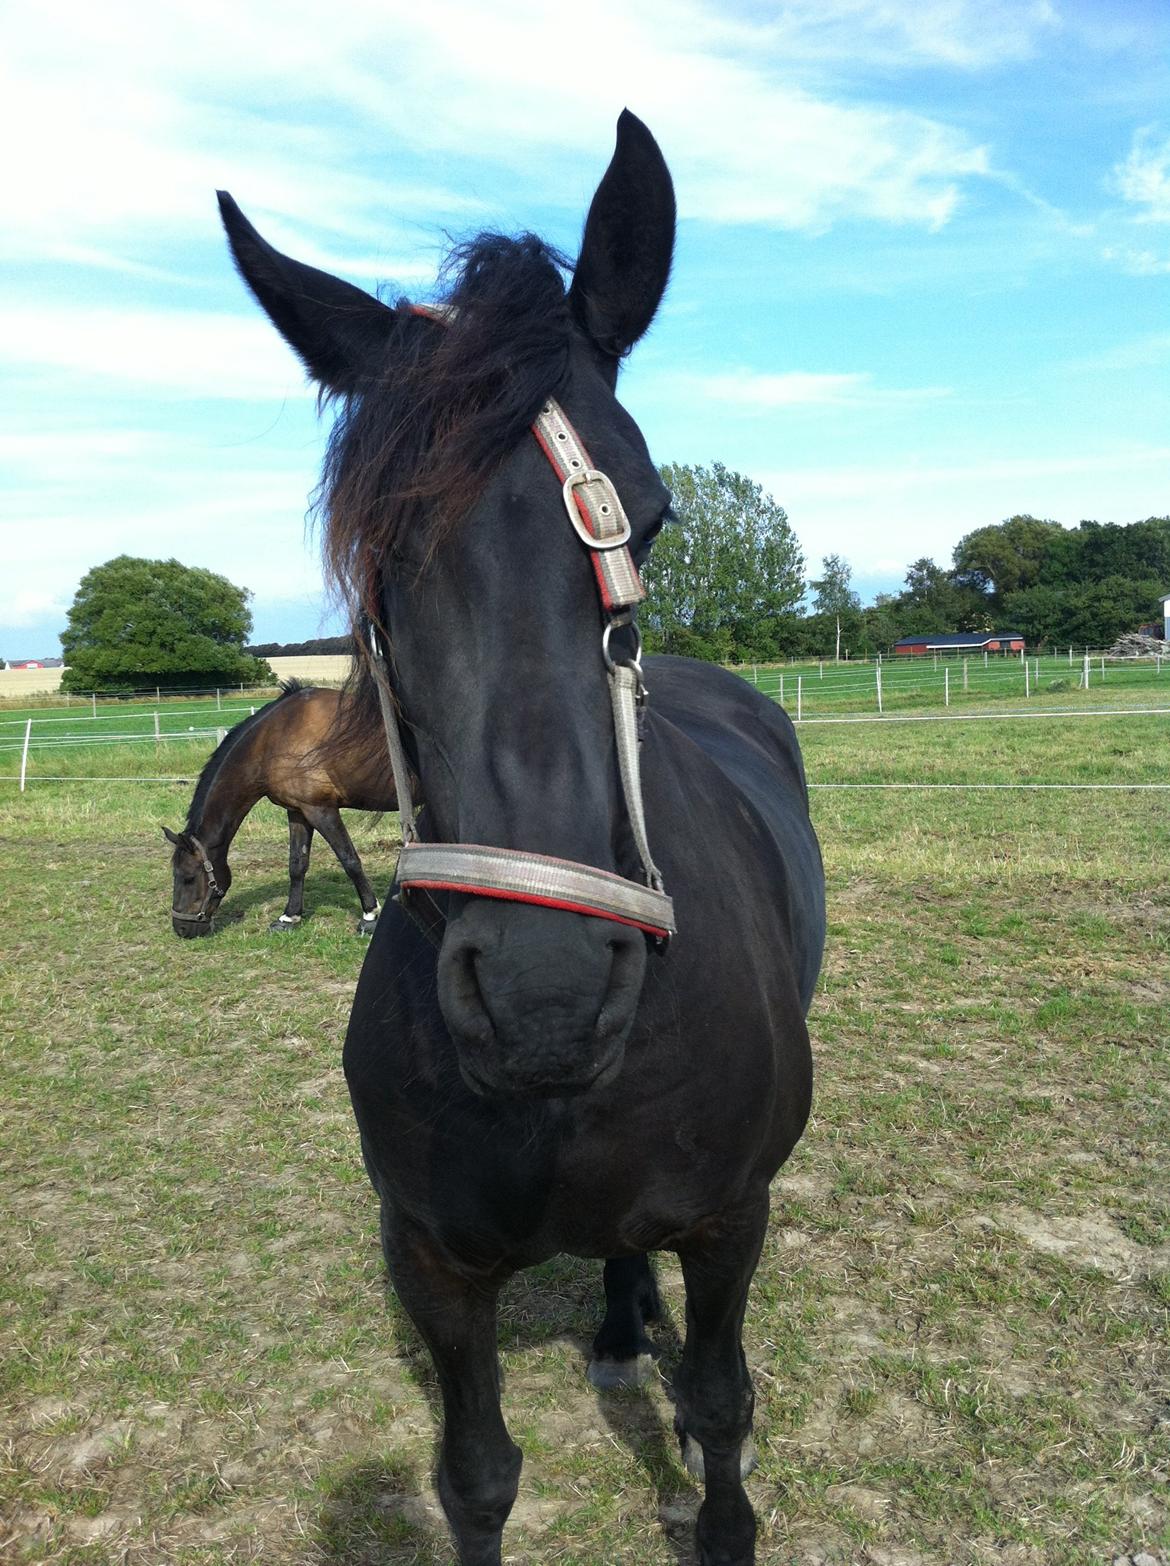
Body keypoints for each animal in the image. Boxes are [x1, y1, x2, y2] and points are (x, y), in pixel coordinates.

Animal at [163, 679, 393, 933]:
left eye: (188, 877)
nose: (181, 929)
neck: (274, 736)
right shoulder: (298, 811)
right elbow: (297, 864)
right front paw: (289, 918)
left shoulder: (321, 810)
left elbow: (350, 860)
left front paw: (370, 915)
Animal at [217, 113, 820, 1566]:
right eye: (375, 546)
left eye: (649, 513)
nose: (545, 997)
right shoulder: (432, 1260)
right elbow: (474, 1473)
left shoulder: (733, 1215)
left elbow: (721, 1401)